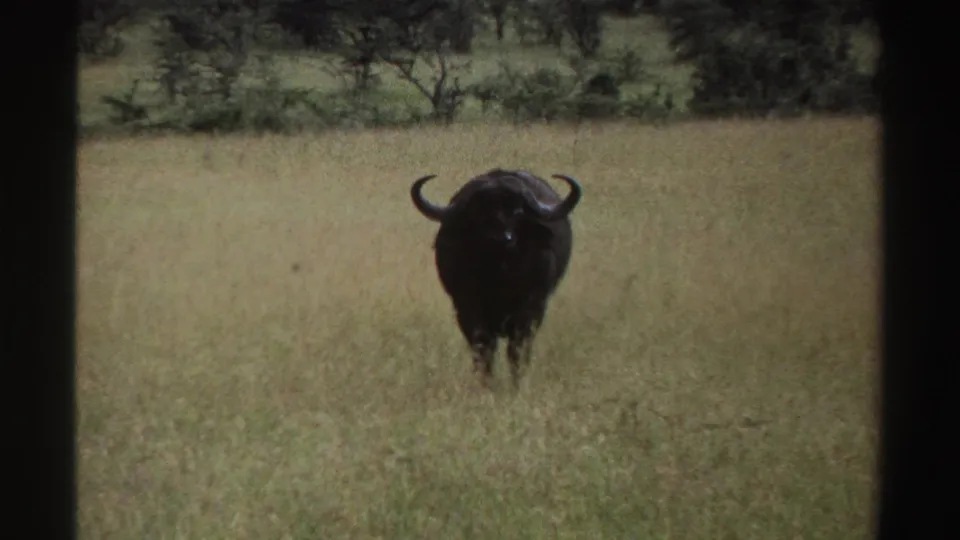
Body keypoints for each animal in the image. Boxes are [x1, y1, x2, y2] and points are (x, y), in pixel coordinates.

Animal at [410, 168, 583, 388]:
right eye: (479, 211)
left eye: (518, 211)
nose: (502, 238)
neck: (498, 276)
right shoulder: (467, 309)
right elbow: (483, 348)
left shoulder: (530, 310)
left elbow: (516, 351)